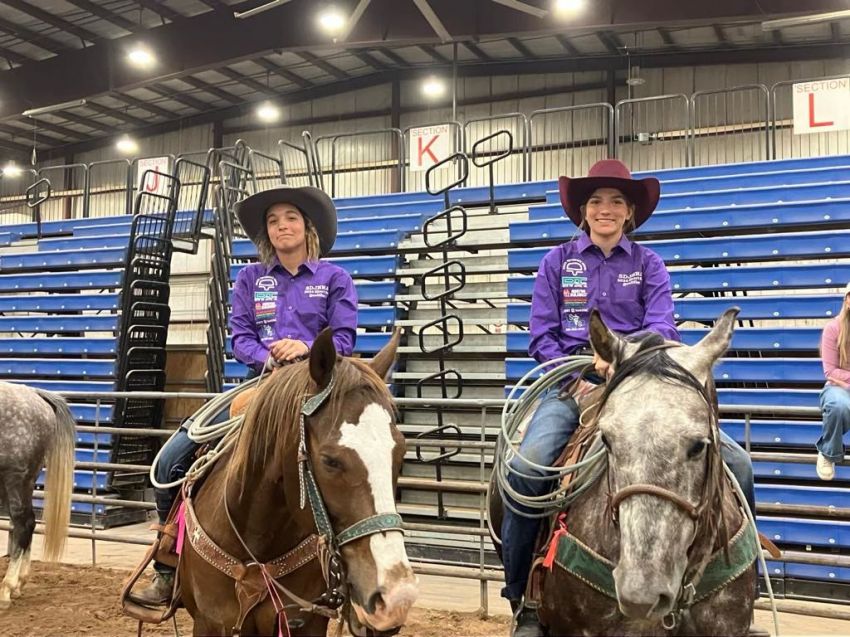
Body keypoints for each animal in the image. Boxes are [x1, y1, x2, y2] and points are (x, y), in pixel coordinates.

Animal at [0, 380, 73, 608]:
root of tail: (35, 394)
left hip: (14, 478)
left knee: (23, 523)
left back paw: (7, 588)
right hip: (26, 480)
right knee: (28, 523)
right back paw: (19, 583)